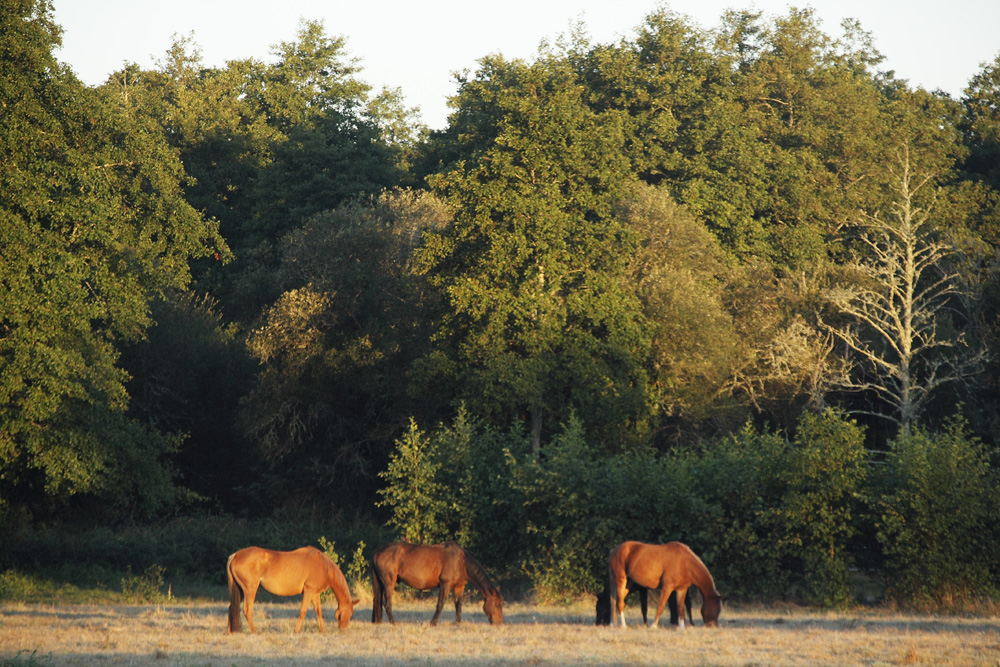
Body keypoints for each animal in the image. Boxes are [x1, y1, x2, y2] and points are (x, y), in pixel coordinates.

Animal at [225, 544, 358, 636]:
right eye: (349, 613)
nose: (343, 629)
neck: (324, 566)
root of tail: (235, 555)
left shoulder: (315, 594)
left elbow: (318, 612)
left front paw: (323, 630)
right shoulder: (309, 591)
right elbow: (303, 611)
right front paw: (296, 630)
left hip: (240, 590)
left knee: (232, 607)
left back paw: (230, 632)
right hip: (250, 589)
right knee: (247, 610)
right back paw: (255, 632)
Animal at [372, 540, 504, 628]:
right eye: (497, 604)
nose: (499, 623)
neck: (460, 561)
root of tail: (378, 551)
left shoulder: (459, 587)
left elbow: (458, 605)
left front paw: (458, 623)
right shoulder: (446, 585)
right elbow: (440, 604)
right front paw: (433, 623)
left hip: (382, 584)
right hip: (389, 583)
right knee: (387, 604)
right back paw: (394, 623)